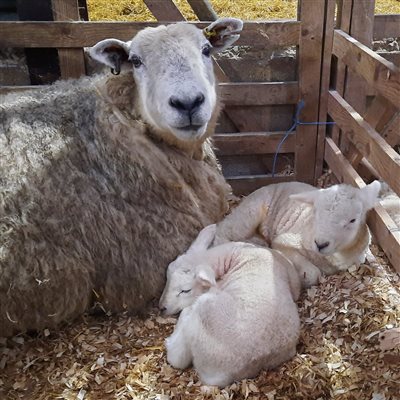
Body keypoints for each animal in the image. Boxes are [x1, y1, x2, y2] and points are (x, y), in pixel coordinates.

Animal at [216, 181, 382, 288]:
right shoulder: (283, 241)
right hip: (250, 212)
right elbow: (313, 273)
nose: (320, 244)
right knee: (224, 231)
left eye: (353, 220)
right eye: (316, 212)